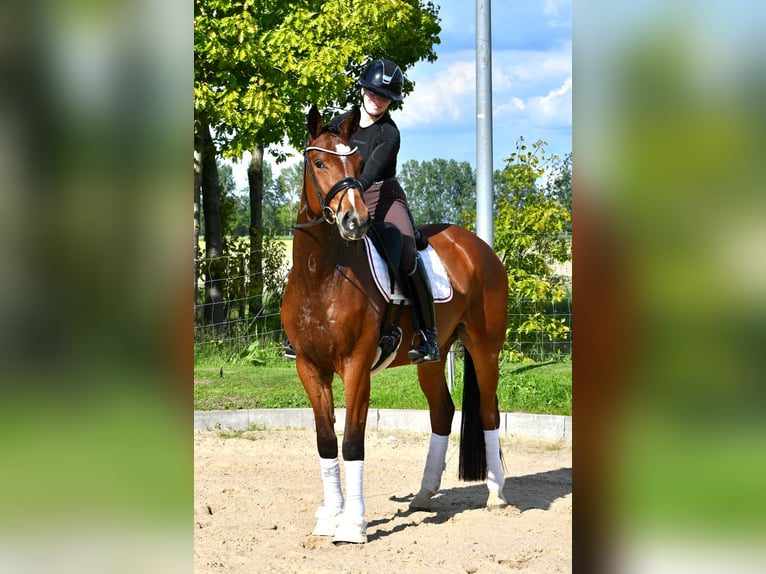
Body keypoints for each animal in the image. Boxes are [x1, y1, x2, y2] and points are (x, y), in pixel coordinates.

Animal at [281, 105, 509, 544]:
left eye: (357, 164)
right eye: (319, 163)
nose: (354, 221)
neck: (322, 274)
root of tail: (479, 248)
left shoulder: (356, 366)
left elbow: (353, 443)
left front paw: (352, 524)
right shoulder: (308, 367)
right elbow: (326, 441)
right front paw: (329, 516)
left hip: (485, 348)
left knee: (488, 412)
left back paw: (496, 494)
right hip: (433, 358)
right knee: (443, 413)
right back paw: (423, 495)